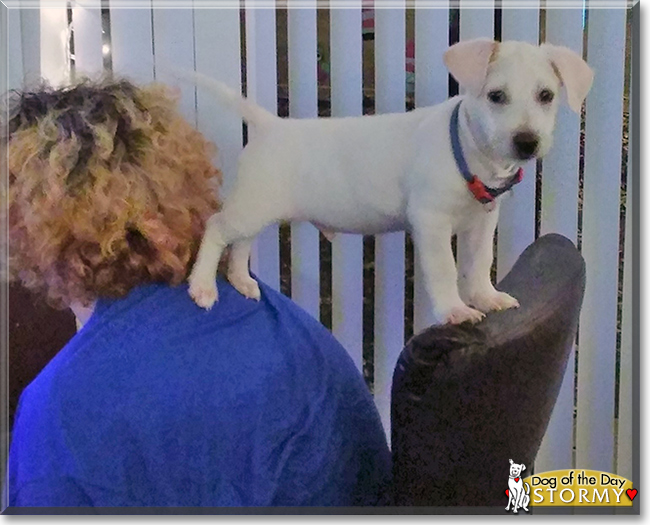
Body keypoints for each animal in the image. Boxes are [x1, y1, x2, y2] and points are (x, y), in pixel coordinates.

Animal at [185, 39, 588, 324]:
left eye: (546, 95)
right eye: (496, 96)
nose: (527, 142)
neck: (466, 150)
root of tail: (271, 125)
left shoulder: (482, 223)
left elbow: (479, 262)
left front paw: (486, 297)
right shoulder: (431, 222)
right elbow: (445, 269)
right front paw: (455, 310)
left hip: (257, 207)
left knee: (240, 243)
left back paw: (241, 281)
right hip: (250, 207)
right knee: (216, 228)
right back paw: (202, 285)